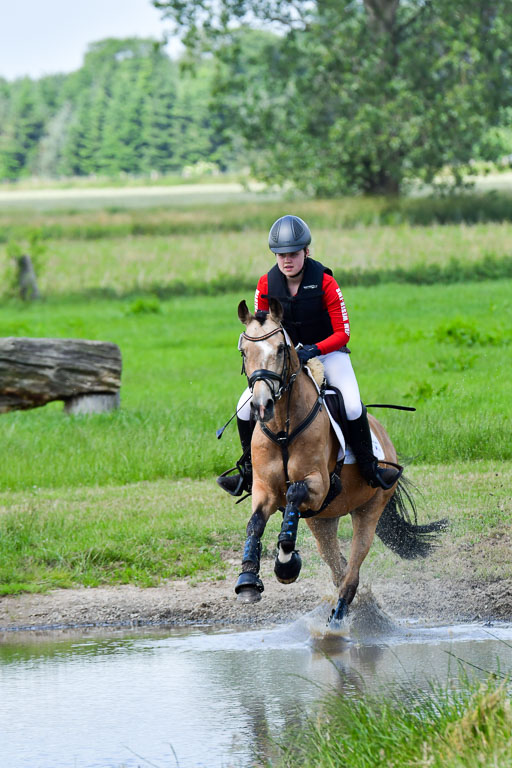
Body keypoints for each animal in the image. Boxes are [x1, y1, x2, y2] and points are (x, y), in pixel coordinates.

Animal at [232, 297, 445, 626]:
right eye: (244, 351)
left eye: (280, 349)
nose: (261, 405)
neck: (283, 428)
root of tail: (383, 436)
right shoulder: (264, 488)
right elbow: (255, 522)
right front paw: (247, 581)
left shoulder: (317, 484)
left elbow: (294, 493)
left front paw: (286, 565)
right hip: (322, 519)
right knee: (338, 565)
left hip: (368, 510)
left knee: (352, 569)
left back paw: (340, 615)